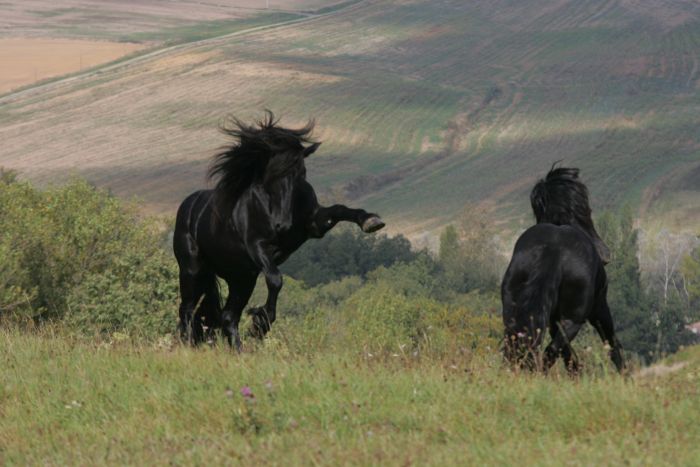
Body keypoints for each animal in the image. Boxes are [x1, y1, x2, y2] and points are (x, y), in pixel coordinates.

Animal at [173, 110, 386, 352]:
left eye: (301, 173)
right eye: (271, 176)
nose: (282, 225)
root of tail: (188, 208)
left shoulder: (315, 225)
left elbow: (339, 209)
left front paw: (370, 221)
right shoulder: (257, 246)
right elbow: (275, 280)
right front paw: (260, 324)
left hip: (241, 277)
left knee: (227, 316)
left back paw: (239, 352)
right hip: (193, 270)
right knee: (187, 310)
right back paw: (188, 347)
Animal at [500, 166, 628, 374]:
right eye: (588, 209)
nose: (605, 254)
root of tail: (552, 250)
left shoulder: (552, 319)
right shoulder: (599, 308)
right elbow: (611, 343)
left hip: (513, 312)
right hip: (574, 319)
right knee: (552, 352)